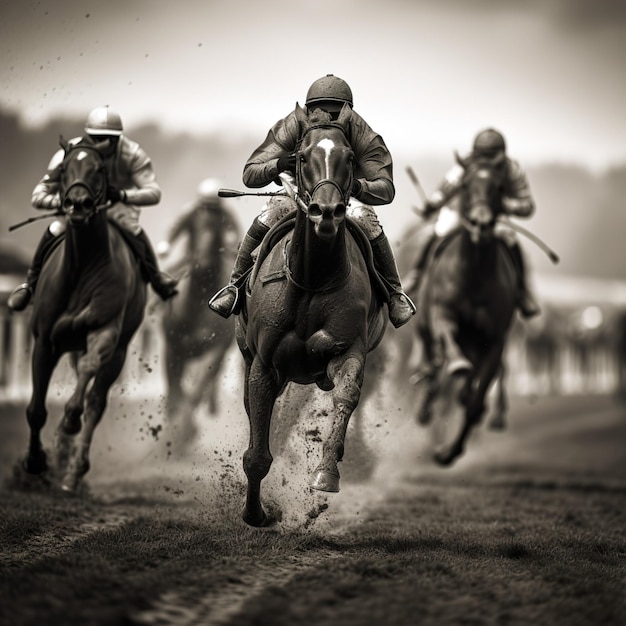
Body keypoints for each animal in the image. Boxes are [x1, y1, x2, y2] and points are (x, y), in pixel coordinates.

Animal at [233, 105, 386, 524]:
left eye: (349, 158)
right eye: (302, 157)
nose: (327, 211)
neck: (313, 278)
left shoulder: (346, 349)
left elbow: (347, 394)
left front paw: (326, 472)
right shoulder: (264, 363)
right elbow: (256, 453)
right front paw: (256, 514)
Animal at [412, 150, 520, 464]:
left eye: (499, 187)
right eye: (465, 185)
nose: (481, 224)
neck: (474, 274)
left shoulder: (494, 341)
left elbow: (474, 401)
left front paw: (449, 452)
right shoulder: (442, 314)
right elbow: (448, 339)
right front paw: (456, 366)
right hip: (424, 328)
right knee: (432, 362)